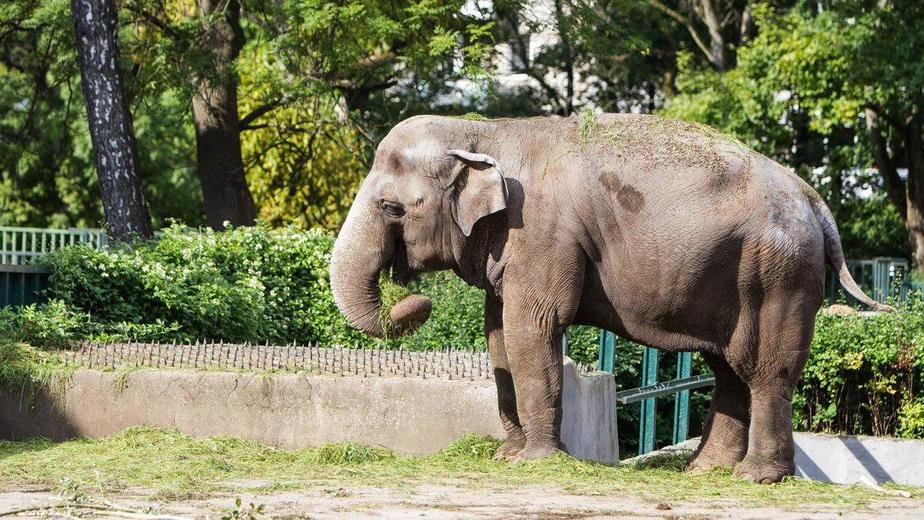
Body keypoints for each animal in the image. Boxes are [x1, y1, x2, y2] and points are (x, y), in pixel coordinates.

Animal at [328, 112, 892, 484]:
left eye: (392, 207)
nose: (414, 299)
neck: (486, 131)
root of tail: (813, 199)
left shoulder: (543, 235)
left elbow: (532, 328)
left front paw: (535, 462)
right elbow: (498, 337)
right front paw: (505, 457)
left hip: (778, 273)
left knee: (765, 368)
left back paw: (754, 479)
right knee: (729, 367)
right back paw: (703, 472)